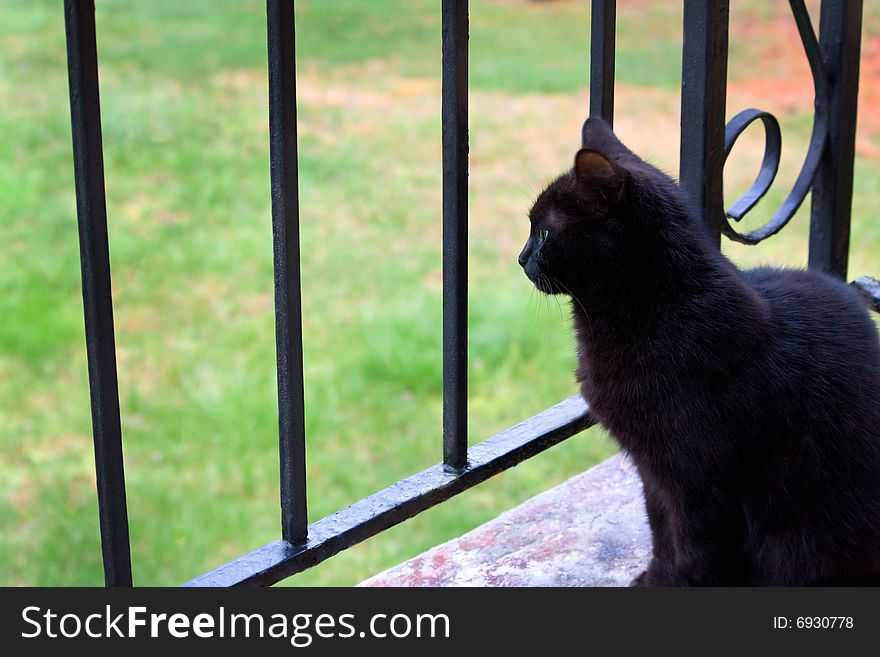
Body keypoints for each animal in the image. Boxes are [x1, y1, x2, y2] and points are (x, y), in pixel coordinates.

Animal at [520, 118, 880, 584]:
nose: (521, 257)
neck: (661, 311)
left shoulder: (700, 484)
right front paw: (656, 576)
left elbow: (695, 549)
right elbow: (661, 531)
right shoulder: (653, 473)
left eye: (544, 232)